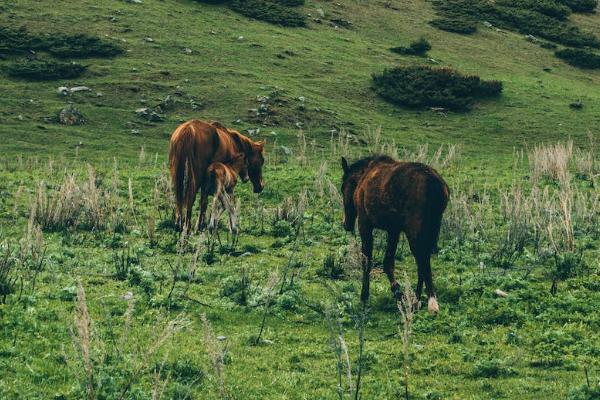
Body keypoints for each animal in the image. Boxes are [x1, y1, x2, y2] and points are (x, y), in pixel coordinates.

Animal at [340, 155, 448, 314]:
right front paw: (398, 292)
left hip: (414, 230)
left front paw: (364, 297)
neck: (362, 178)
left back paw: (431, 302)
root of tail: (435, 185)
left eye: (343, 188)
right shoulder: (394, 230)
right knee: (422, 261)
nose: (346, 224)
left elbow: (367, 262)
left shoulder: (365, 224)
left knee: (422, 259)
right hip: (432, 227)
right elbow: (388, 262)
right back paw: (416, 300)